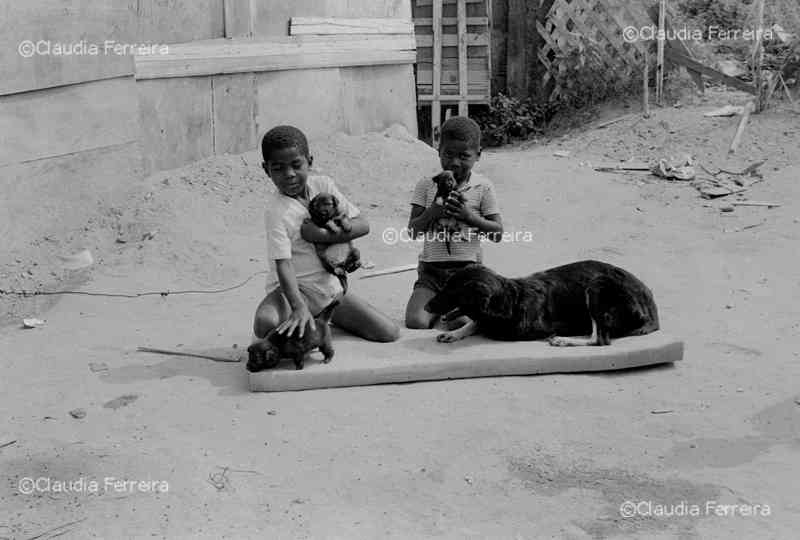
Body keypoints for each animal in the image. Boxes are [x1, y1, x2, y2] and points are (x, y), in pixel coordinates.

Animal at [428, 258, 660, 344]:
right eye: (445, 285)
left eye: (452, 291)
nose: (426, 306)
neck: (512, 299)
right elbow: (475, 322)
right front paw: (454, 333)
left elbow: (481, 323)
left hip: (597, 285)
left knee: (600, 339)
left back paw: (565, 340)